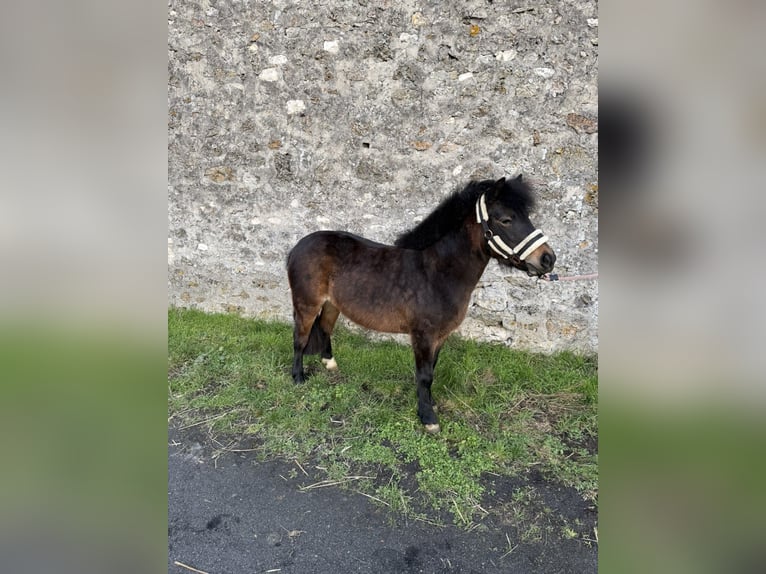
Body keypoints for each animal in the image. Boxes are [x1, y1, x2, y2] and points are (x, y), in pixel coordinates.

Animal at [286, 175, 556, 433]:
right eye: (506, 219)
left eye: (527, 217)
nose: (548, 259)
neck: (436, 272)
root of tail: (298, 246)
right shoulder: (423, 335)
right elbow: (424, 375)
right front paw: (428, 419)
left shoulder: (440, 336)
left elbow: (432, 371)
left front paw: (430, 403)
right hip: (306, 305)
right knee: (300, 338)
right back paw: (298, 377)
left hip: (333, 305)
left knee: (324, 327)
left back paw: (330, 364)